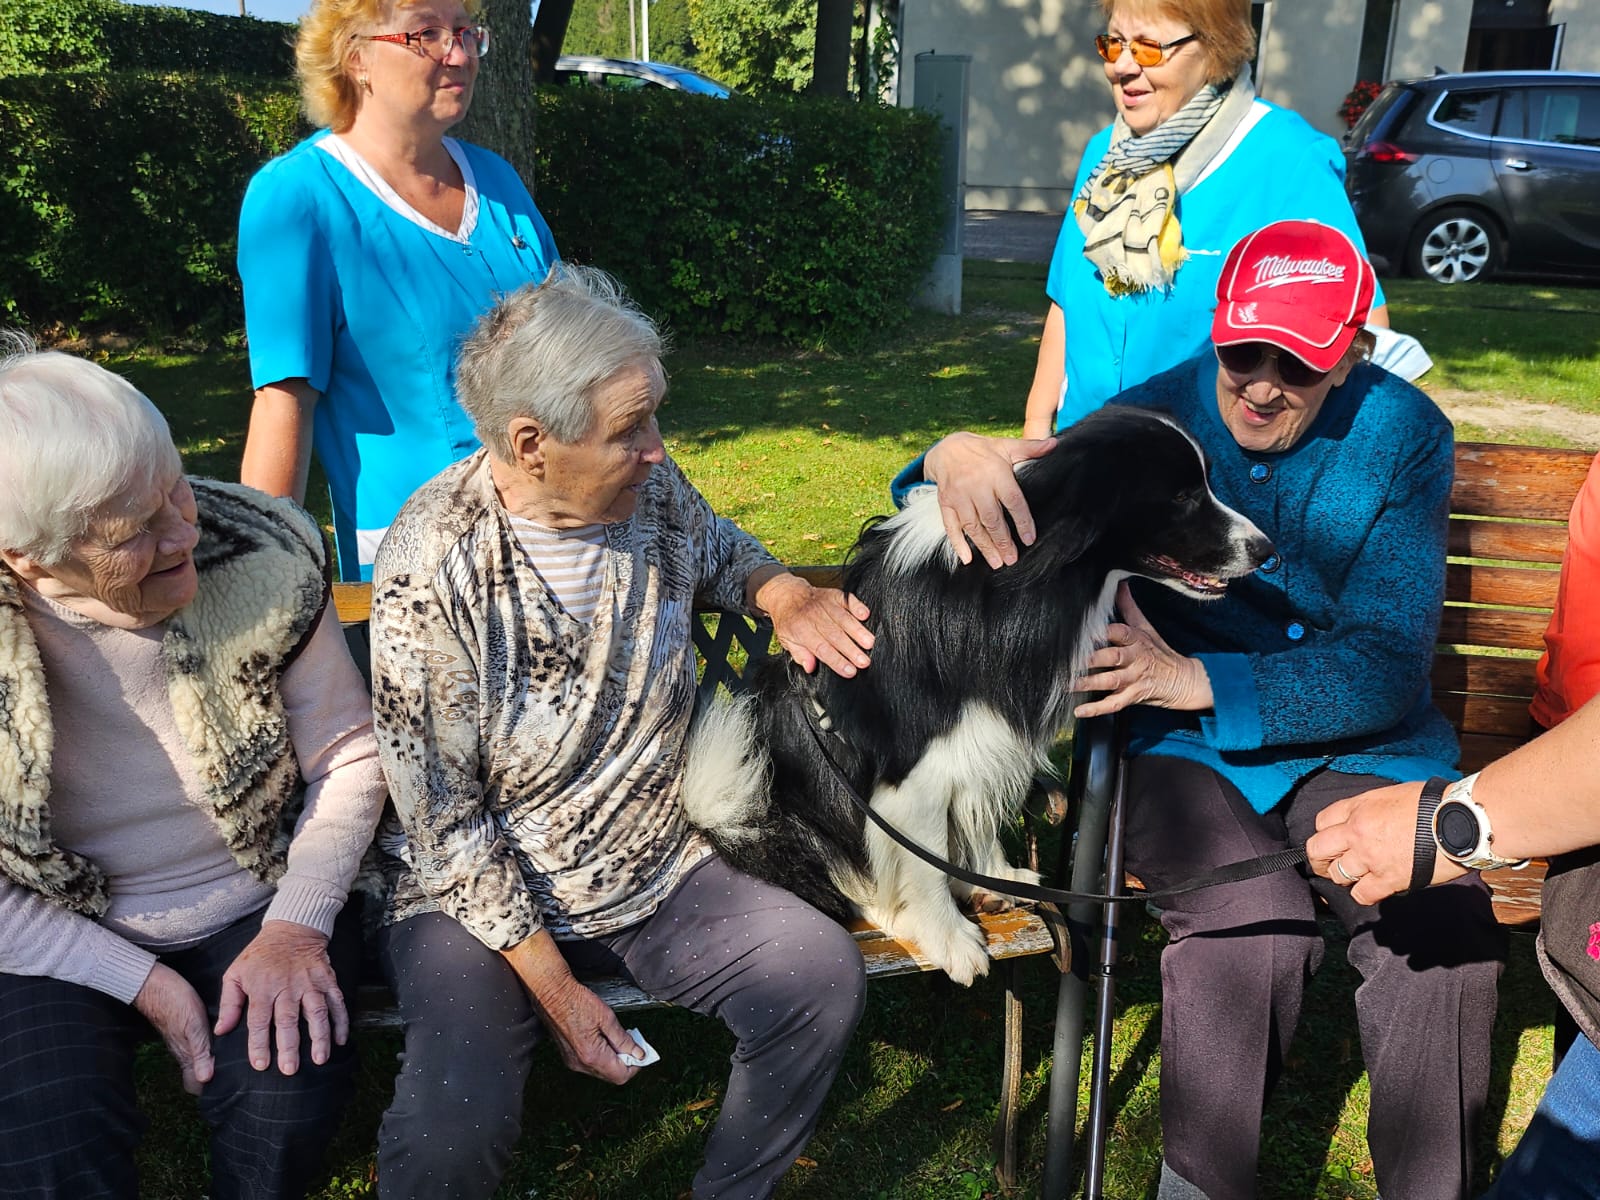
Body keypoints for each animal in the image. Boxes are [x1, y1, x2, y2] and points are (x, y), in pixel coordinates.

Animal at [681, 406, 1274, 984]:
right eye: (1181, 496)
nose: (1266, 550)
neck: (1017, 577)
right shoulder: (912, 768)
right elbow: (925, 858)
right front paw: (950, 938)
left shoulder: (987, 733)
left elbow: (977, 811)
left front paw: (994, 877)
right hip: (776, 797)